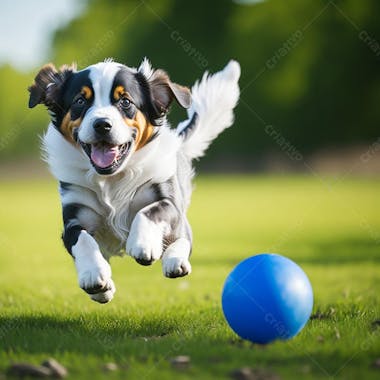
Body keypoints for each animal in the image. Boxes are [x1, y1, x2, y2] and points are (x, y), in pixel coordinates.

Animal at [28, 58, 239, 302]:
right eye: (80, 100)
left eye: (125, 101)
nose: (102, 124)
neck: (112, 178)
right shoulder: (74, 214)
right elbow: (83, 240)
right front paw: (94, 274)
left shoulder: (167, 198)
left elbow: (148, 211)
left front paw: (142, 244)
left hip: (180, 220)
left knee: (183, 238)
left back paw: (175, 261)